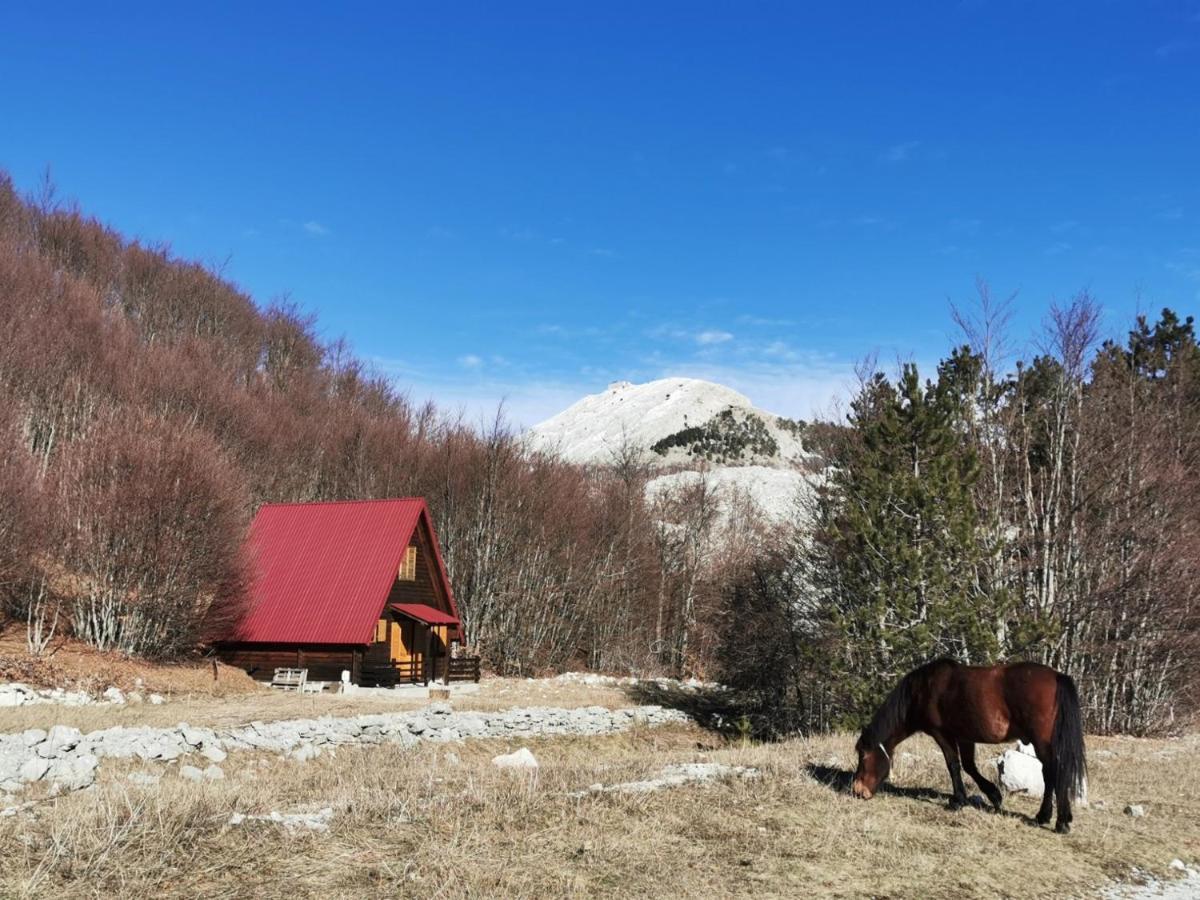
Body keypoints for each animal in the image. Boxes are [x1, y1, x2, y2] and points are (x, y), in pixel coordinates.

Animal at [854, 657, 1089, 835]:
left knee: (1053, 773)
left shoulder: (942, 734)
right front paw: (994, 796)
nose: (858, 791)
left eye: (863, 756)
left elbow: (953, 765)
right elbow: (969, 766)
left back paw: (1058, 821)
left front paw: (958, 801)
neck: (923, 690)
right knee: (1051, 775)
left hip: (1042, 743)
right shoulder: (965, 737)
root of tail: (1057, 676)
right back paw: (1047, 816)